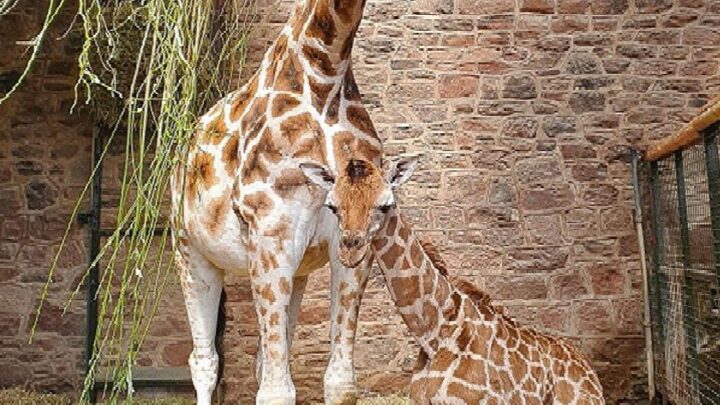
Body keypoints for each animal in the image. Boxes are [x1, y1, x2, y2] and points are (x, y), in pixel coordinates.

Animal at [171, 0, 380, 400]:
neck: (326, 75)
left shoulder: (356, 241)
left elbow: (340, 382)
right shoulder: (272, 234)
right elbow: (276, 392)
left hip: (294, 272)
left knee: (260, 360)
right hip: (190, 251)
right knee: (204, 362)